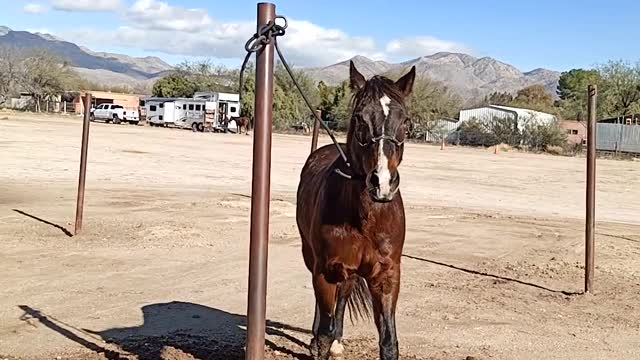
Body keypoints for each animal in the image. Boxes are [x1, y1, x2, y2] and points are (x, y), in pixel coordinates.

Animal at [296, 60, 416, 358]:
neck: (366, 218)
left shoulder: (387, 276)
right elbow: (324, 333)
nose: (382, 182)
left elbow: (388, 341)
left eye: (405, 121)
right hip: (312, 258)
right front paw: (320, 342)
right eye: (360, 118)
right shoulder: (326, 271)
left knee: (344, 294)